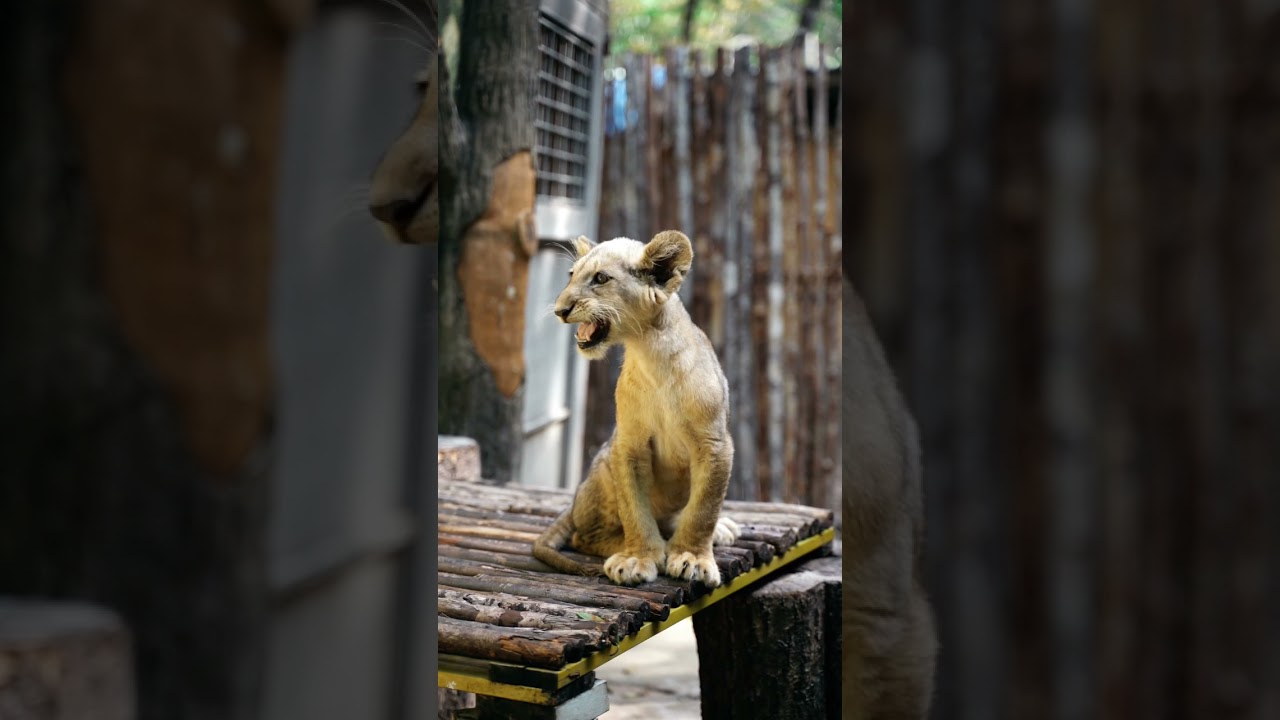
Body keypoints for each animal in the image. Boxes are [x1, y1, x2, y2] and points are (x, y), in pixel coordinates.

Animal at [533, 231, 740, 587]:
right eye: (571, 275)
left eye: (600, 278)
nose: (560, 310)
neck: (650, 354)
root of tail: (573, 503)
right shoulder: (627, 444)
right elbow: (634, 510)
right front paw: (637, 557)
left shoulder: (714, 444)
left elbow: (704, 509)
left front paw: (692, 557)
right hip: (602, 471)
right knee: (583, 537)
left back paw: (714, 531)